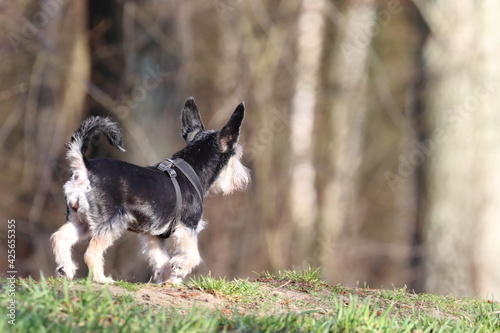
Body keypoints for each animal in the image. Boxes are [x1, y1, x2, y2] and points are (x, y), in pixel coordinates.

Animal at [50, 96, 250, 282]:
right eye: (237, 155)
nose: (244, 176)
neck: (191, 168)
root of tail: (85, 168)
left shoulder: (154, 237)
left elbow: (161, 260)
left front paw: (168, 280)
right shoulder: (187, 226)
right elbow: (193, 255)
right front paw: (180, 267)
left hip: (80, 221)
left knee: (60, 238)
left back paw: (66, 269)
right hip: (110, 223)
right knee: (91, 253)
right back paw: (101, 279)